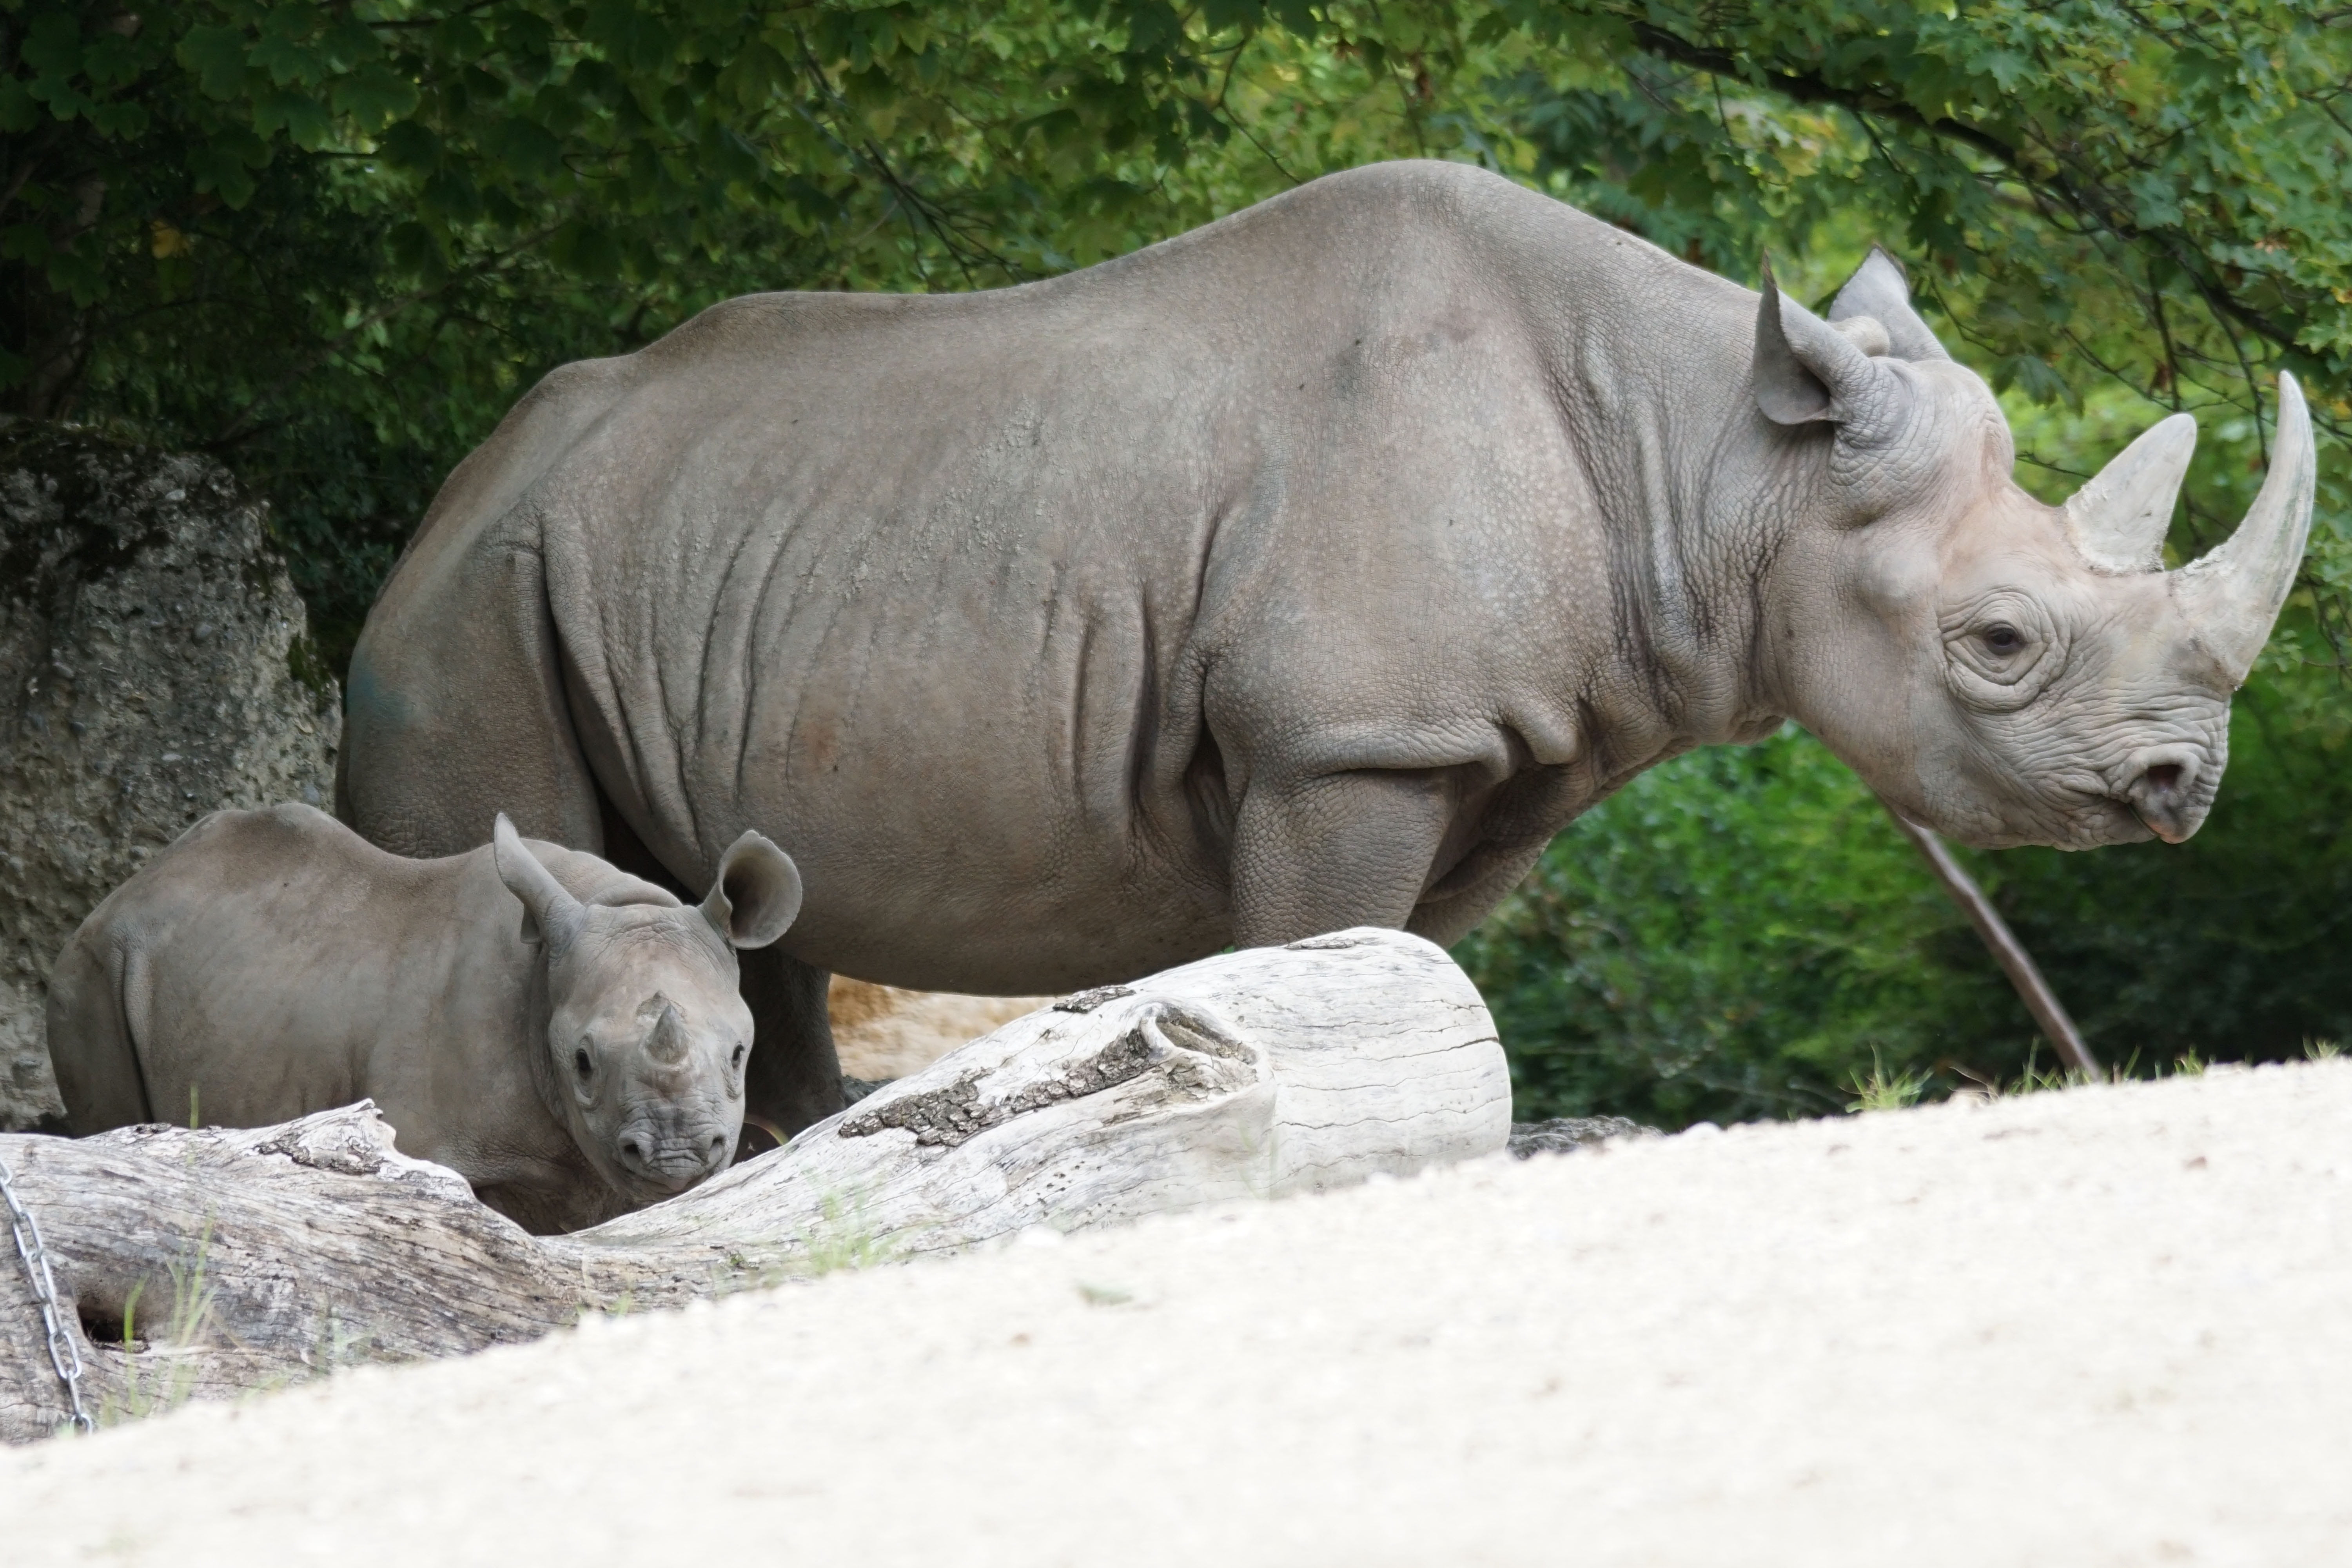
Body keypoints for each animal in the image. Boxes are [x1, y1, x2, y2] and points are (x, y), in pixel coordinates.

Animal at [339, 160, 2317, 1140]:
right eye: (1999, 639)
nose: (2185, 785)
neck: (1713, 464)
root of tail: (449, 497)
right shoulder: (1346, 740)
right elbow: (1320, 955)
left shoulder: (1475, 748)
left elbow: (1399, 974)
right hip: (471, 608)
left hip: (630, 558)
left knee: (750, 913)